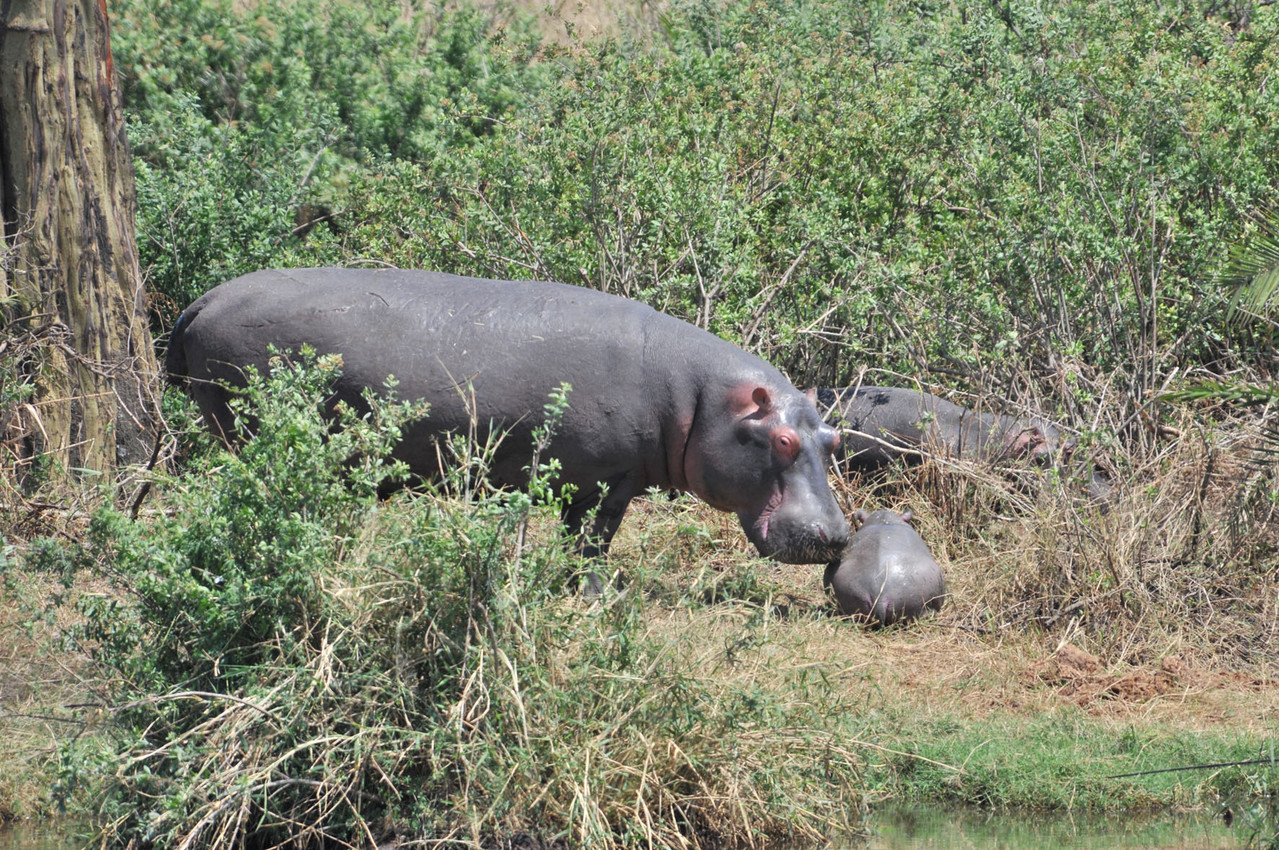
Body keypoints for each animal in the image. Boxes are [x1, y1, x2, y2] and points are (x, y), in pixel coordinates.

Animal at [167, 268, 849, 567]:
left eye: (833, 436)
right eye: (781, 440)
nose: (840, 538)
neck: (696, 399)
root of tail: (203, 299)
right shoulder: (610, 481)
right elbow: (592, 543)